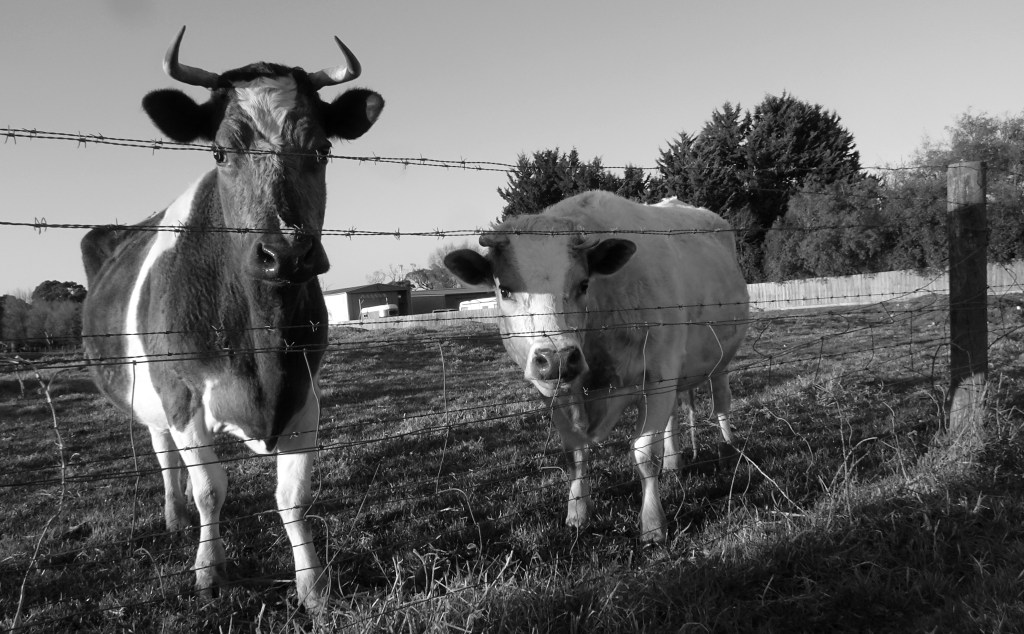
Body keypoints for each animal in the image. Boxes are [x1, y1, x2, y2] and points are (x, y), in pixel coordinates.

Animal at [80, 27, 383, 610]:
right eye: (220, 151)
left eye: (323, 149)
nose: (286, 254)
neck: (264, 346)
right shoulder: (181, 395)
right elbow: (209, 490)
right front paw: (209, 571)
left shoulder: (305, 391)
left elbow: (292, 496)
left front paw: (313, 587)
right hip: (153, 393)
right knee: (165, 456)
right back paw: (174, 515)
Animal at [444, 191, 749, 543]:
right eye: (504, 289)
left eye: (583, 284)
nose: (558, 358)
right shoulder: (560, 395)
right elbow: (576, 454)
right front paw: (577, 512)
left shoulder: (659, 373)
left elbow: (645, 453)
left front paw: (653, 525)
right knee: (673, 416)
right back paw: (675, 464)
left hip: (722, 358)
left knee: (721, 402)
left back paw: (728, 449)